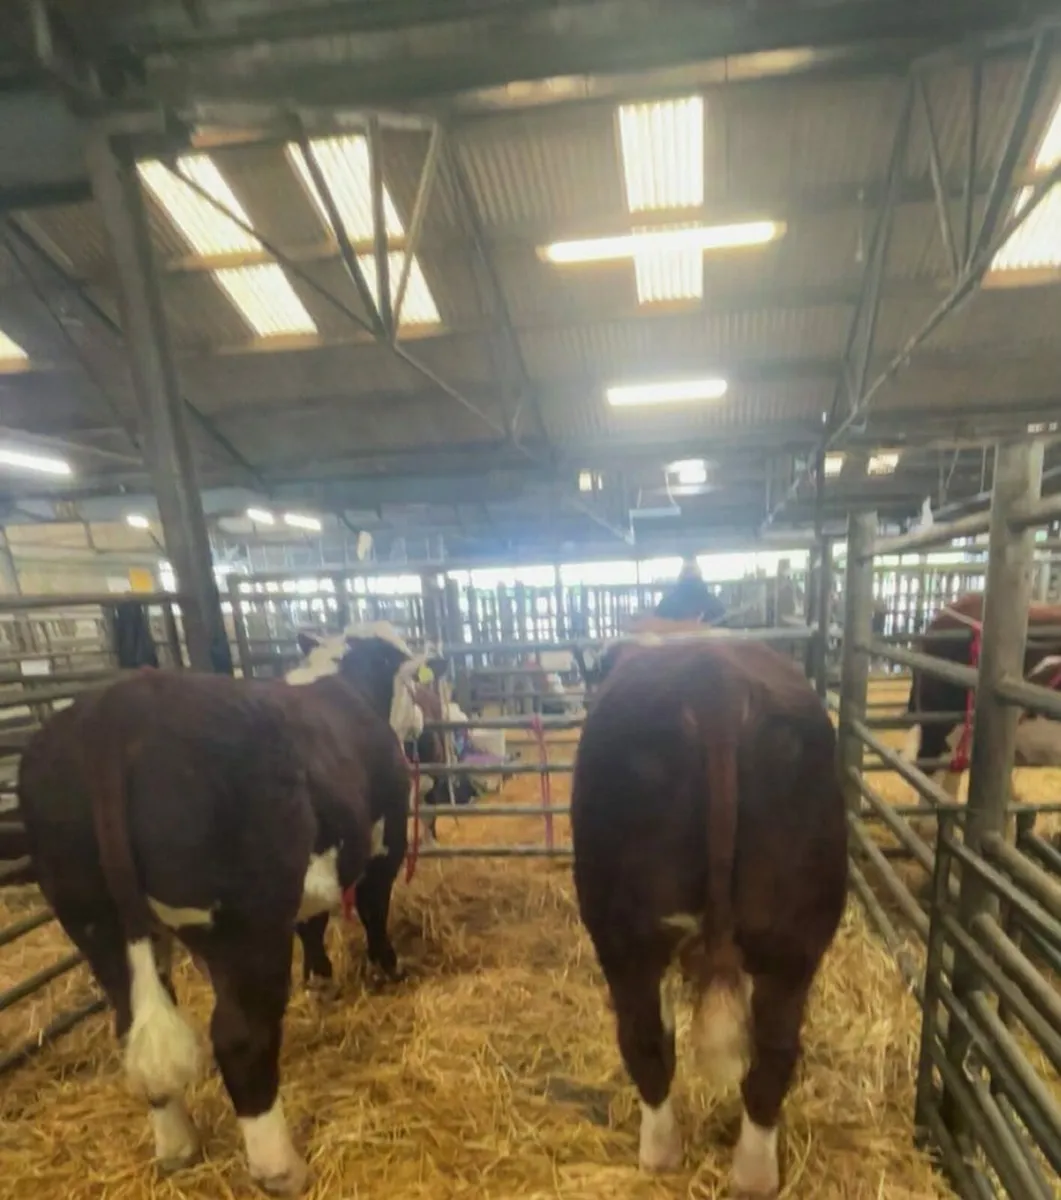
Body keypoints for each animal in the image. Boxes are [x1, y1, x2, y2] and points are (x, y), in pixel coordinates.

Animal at [570, 638, 847, 1197]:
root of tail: (714, 683)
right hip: (791, 939)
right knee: (772, 1056)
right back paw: (755, 1175)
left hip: (626, 938)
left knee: (646, 1043)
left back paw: (658, 1156)